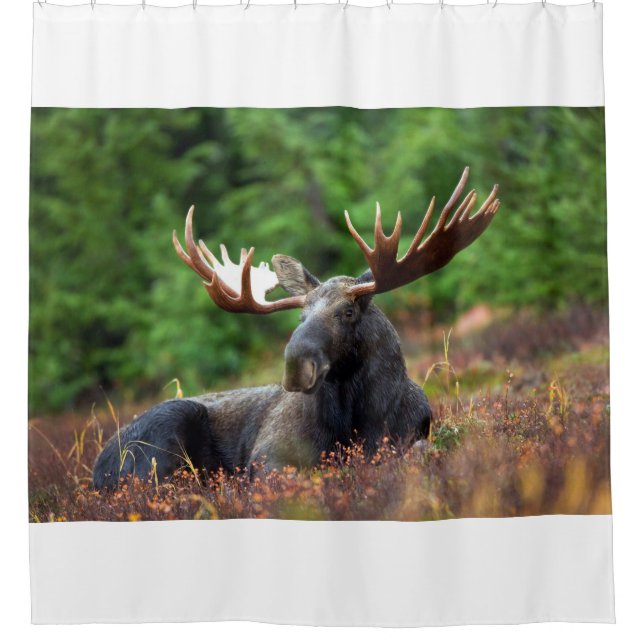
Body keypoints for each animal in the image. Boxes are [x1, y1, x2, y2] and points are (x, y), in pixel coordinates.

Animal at [93, 167, 500, 490]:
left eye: (347, 312)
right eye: (300, 317)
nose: (295, 366)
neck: (358, 420)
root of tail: (98, 469)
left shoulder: (412, 435)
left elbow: (420, 450)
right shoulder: (267, 455)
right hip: (164, 436)